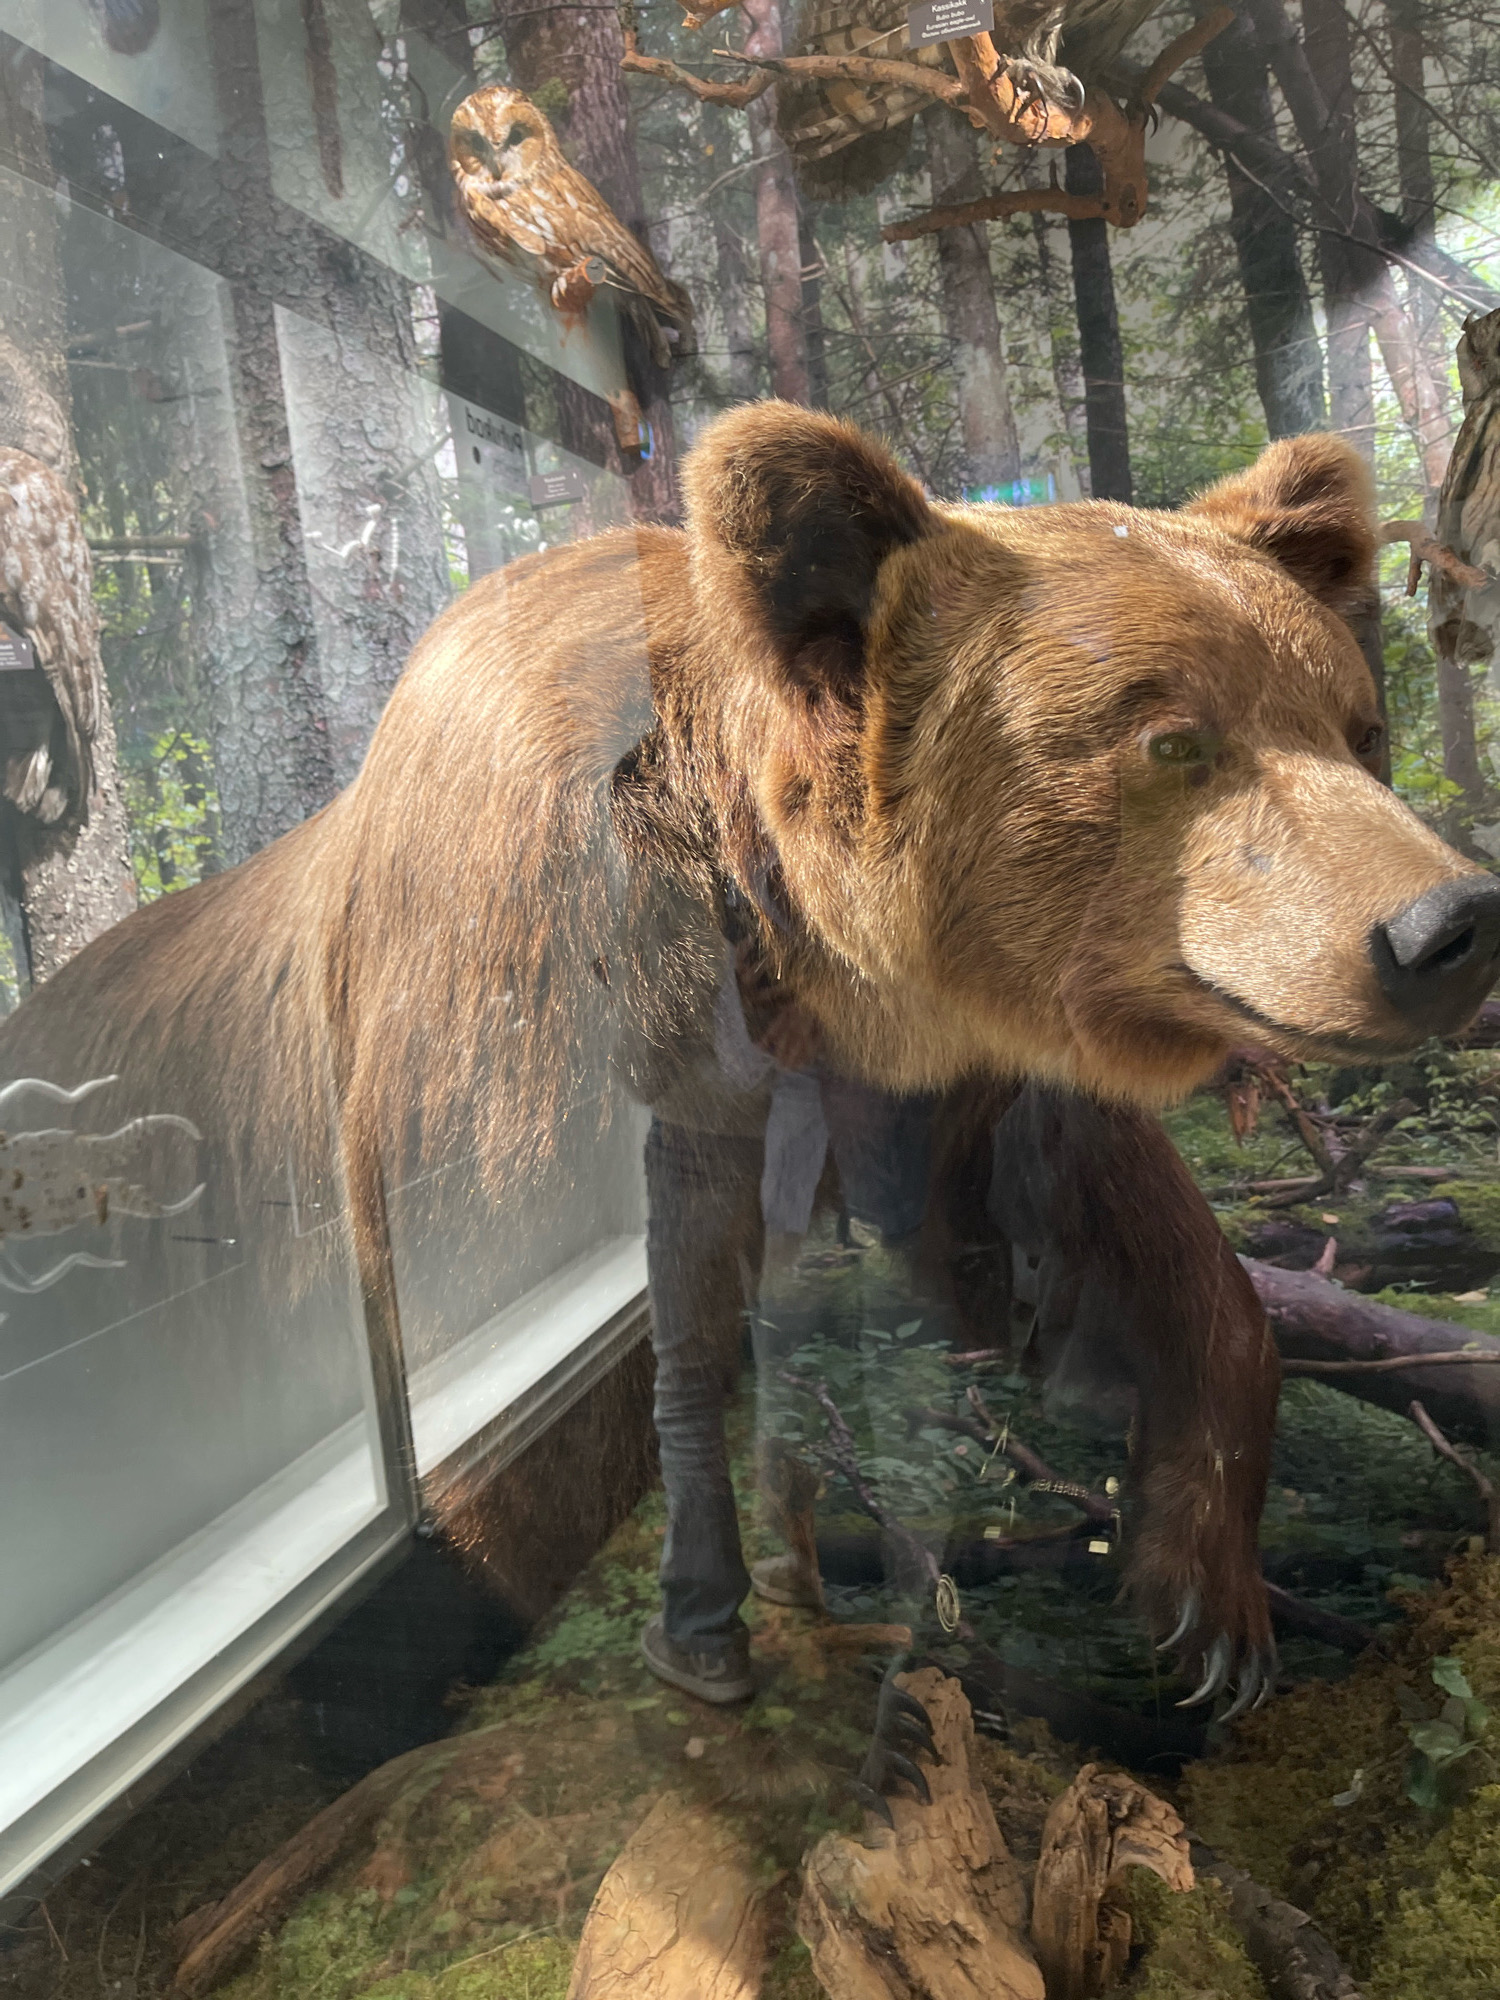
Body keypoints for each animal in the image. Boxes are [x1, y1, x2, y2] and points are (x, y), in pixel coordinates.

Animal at [4, 400, 1499, 1739]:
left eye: (1353, 723)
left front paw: (1207, 1604)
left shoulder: (945, 1072)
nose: (1447, 923)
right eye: (1172, 739)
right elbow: (584, 1399)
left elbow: (1131, 1239)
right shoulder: (533, 1055)